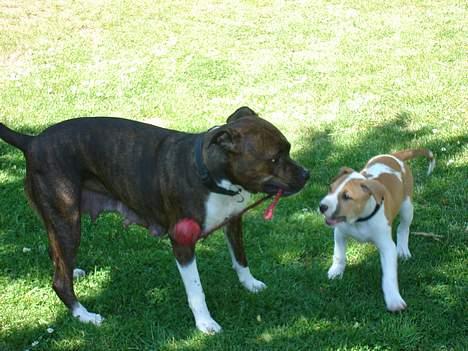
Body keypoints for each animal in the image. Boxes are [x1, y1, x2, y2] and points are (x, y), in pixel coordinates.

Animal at [318, 150, 436, 312]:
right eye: (330, 189)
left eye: (346, 197)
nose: (321, 206)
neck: (359, 220)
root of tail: (394, 156)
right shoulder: (340, 233)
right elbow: (339, 255)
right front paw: (336, 271)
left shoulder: (387, 247)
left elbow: (389, 276)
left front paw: (393, 300)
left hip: (407, 206)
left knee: (403, 228)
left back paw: (403, 250)